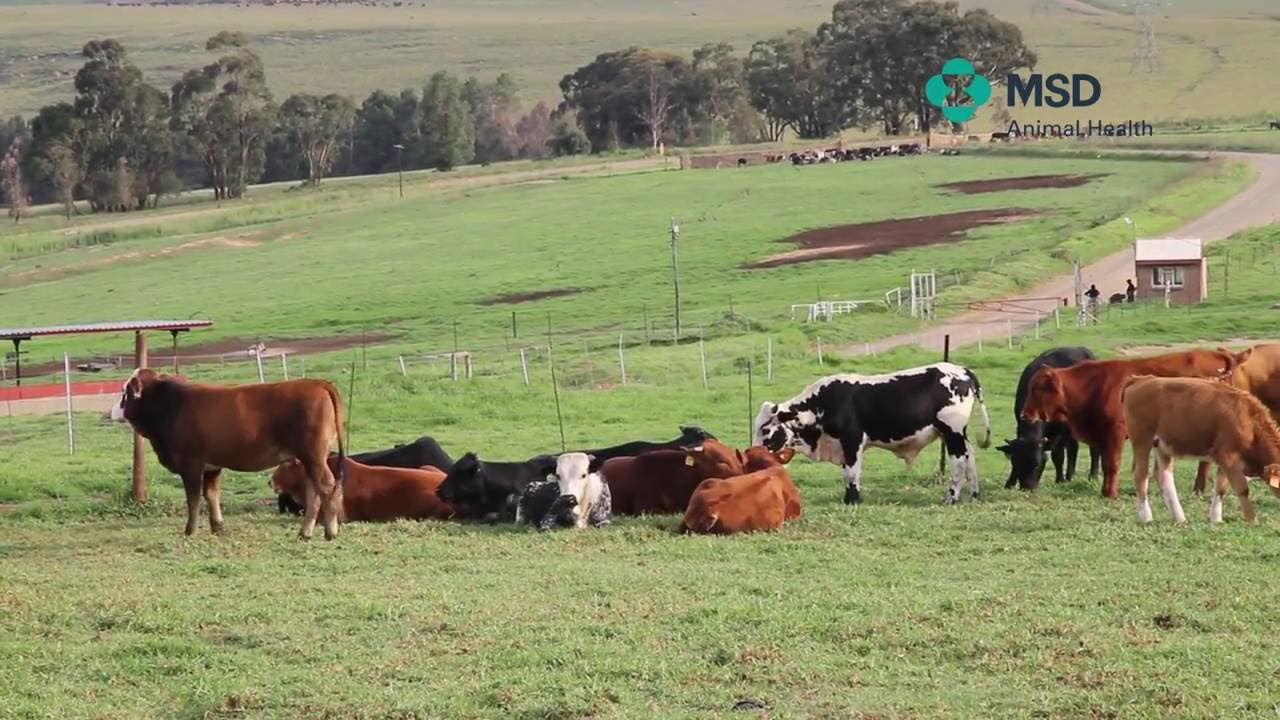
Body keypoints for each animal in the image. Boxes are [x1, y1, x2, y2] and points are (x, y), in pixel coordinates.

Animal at [109, 368, 345, 540]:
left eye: (125, 392)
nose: (112, 411)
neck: (171, 406)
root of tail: (316, 383)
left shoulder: (191, 464)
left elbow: (193, 499)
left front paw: (190, 530)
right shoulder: (212, 466)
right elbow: (211, 495)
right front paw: (217, 527)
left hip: (313, 456)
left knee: (327, 487)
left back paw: (330, 531)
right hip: (310, 460)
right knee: (313, 491)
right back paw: (305, 532)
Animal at [754, 362, 991, 506]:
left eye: (765, 429)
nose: (753, 453)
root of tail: (962, 371)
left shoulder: (852, 440)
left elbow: (851, 473)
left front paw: (853, 500)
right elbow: (848, 473)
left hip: (952, 431)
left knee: (958, 461)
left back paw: (952, 497)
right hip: (956, 434)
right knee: (970, 456)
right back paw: (974, 494)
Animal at [998, 347, 1099, 491]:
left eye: (1036, 463)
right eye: (1015, 463)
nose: (1027, 487)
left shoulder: (1059, 431)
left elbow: (1057, 455)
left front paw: (1060, 480)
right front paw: (1010, 483)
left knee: (1092, 448)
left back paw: (1092, 476)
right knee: (1073, 448)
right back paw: (1072, 475)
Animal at [1020, 348, 1248, 499]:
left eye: (1037, 388)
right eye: (1030, 387)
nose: (1024, 414)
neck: (1094, 387)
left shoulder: (1116, 433)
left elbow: (1112, 464)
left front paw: (1110, 494)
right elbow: (1105, 463)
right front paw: (1106, 490)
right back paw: (1197, 488)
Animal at [1122, 376, 1280, 525]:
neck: (1249, 421)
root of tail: (1141, 379)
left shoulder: (1225, 461)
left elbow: (1221, 488)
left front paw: (1216, 518)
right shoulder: (1226, 455)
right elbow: (1242, 488)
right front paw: (1252, 520)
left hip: (1162, 446)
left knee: (1164, 477)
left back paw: (1179, 518)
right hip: (1142, 440)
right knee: (1141, 476)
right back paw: (1146, 517)